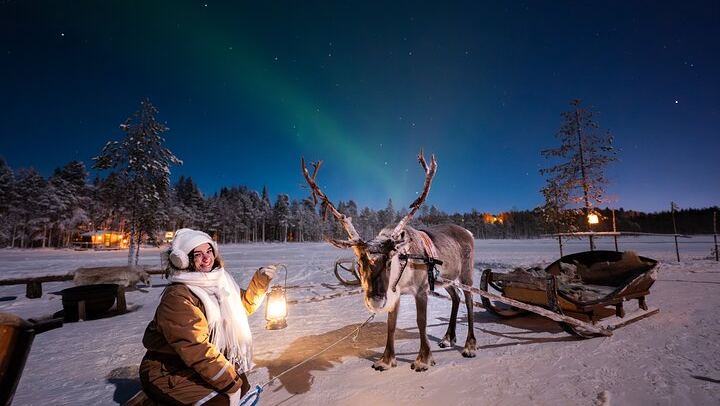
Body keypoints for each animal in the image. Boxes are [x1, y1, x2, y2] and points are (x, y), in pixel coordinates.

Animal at [301, 151, 476, 372]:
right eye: (359, 263)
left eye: (389, 261)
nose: (376, 300)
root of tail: (468, 232)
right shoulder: (396, 292)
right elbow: (391, 325)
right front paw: (386, 360)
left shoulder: (420, 289)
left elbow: (421, 321)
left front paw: (423, 360)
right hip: (446, 279)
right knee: (456, 297)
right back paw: (447, 338)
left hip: (466, 274)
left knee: (469, 301)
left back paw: (470, 346)